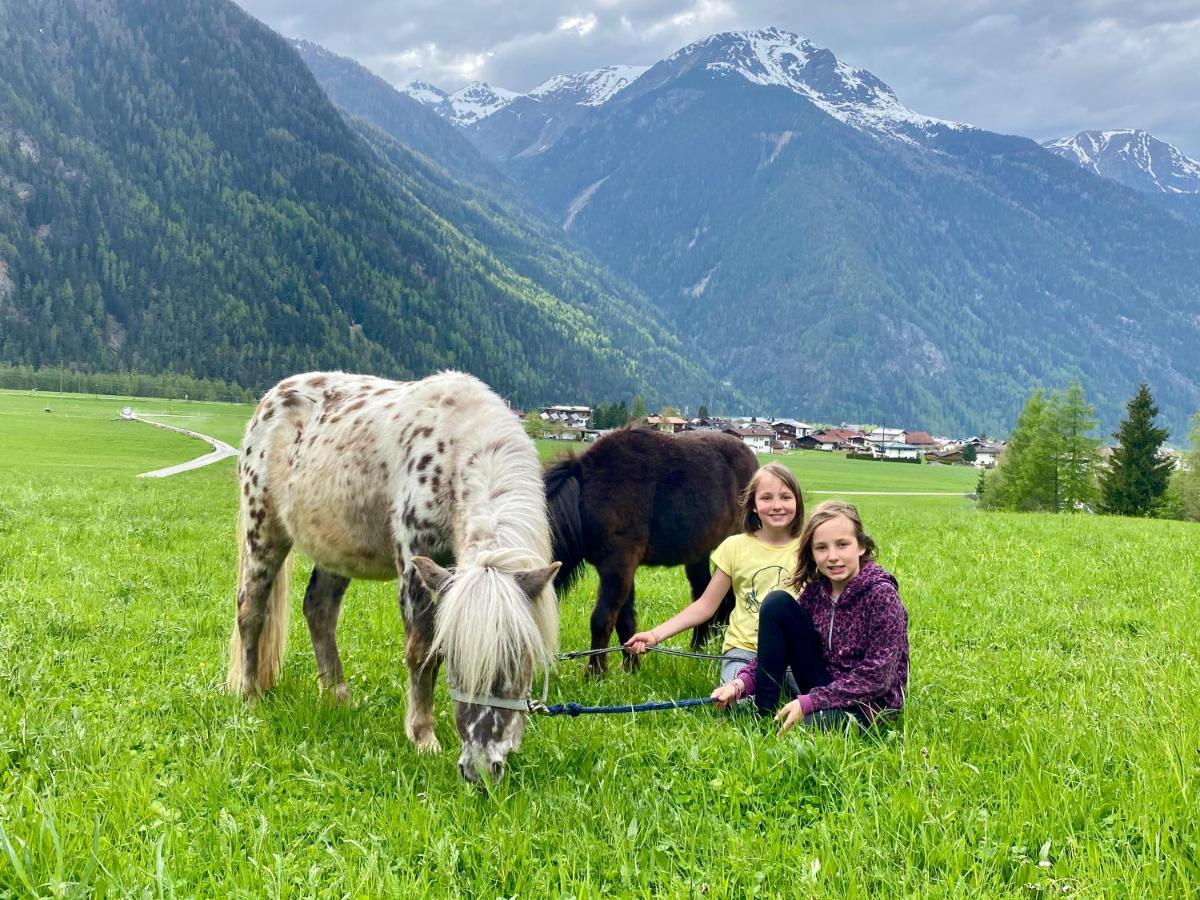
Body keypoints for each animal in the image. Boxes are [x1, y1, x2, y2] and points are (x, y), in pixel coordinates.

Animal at [226, 374, 559, 782]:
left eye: (520, 663)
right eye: (457, 665)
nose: (479, 769)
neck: (451, 450)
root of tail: (269, 401)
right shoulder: (417, 565)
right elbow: (422, 653)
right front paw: (423, 737)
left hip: (334, 551)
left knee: (318, 610)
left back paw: (338, 696)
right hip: (264, 533)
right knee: (251, 610)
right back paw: (251, 695)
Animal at [547, 429, 753, 676]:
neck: (585, 498)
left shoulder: (618, 565)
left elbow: (601, 619)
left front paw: (595, 674)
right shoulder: (620, 569)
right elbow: (624, 620)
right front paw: (631, 669)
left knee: (729, 601)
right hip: (698, 555)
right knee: (703, 595)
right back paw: (696, 650)